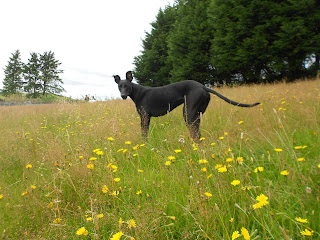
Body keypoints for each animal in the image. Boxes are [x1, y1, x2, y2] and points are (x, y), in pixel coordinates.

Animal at [114, 71, 258, 142]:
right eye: (119, 86)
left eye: (127, 85)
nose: (123, 95)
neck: (137, 92)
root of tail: (203, 86)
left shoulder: (145, 117)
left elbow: (144, 134)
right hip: (196, 114)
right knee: (197, 132)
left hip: (188, 113)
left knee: (195, 133)